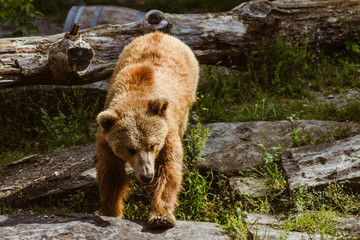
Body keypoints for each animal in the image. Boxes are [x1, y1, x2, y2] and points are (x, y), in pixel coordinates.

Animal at [95, 31, 200, 228]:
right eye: (130, 149)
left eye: (152, 145)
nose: (147, 176)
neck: (136, 94)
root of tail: (160, 34)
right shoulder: (107, 139)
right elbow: (112, 173)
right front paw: (110, 211)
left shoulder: (167, 131)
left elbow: (168, 170)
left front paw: (161, 217)